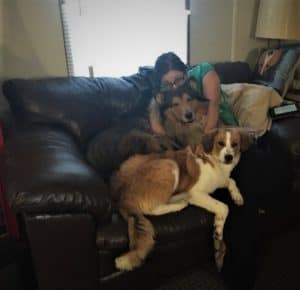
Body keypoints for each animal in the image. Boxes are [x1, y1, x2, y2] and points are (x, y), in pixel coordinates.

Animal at [110, 127, 253, 272]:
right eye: (220, 143)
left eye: (235, 144)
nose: (229, 157)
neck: (215, 162)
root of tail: (124, 193)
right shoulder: (196, 193)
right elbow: (223, 206)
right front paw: (218, 232)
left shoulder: (220, 180)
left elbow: (231, 181)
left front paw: (237, 196)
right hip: (170, 165)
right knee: (152, 208)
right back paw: (180, 203)